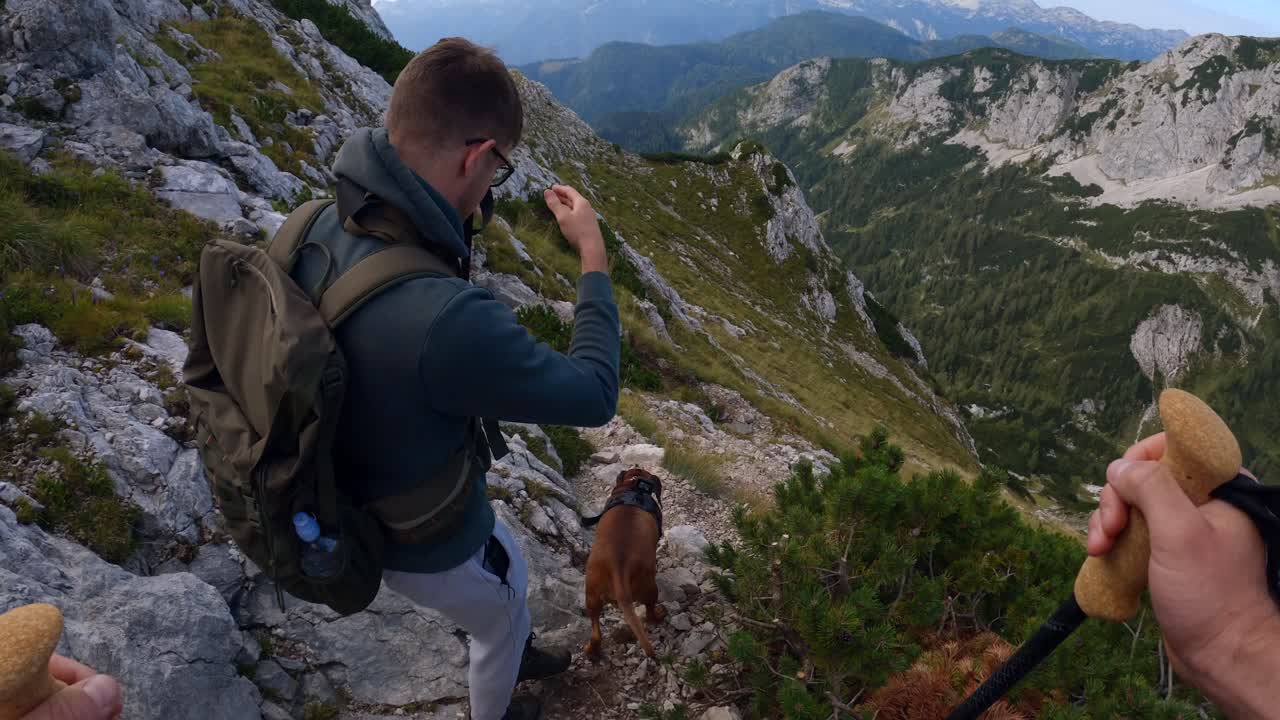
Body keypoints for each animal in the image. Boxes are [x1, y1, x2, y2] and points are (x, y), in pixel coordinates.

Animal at [583, 466, 665, 655]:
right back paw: (659, 615)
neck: (635, 486)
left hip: (591, 597)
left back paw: (592, 651)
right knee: (650, 614)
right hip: (650, 589)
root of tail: (618, 569)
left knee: (596, 633)